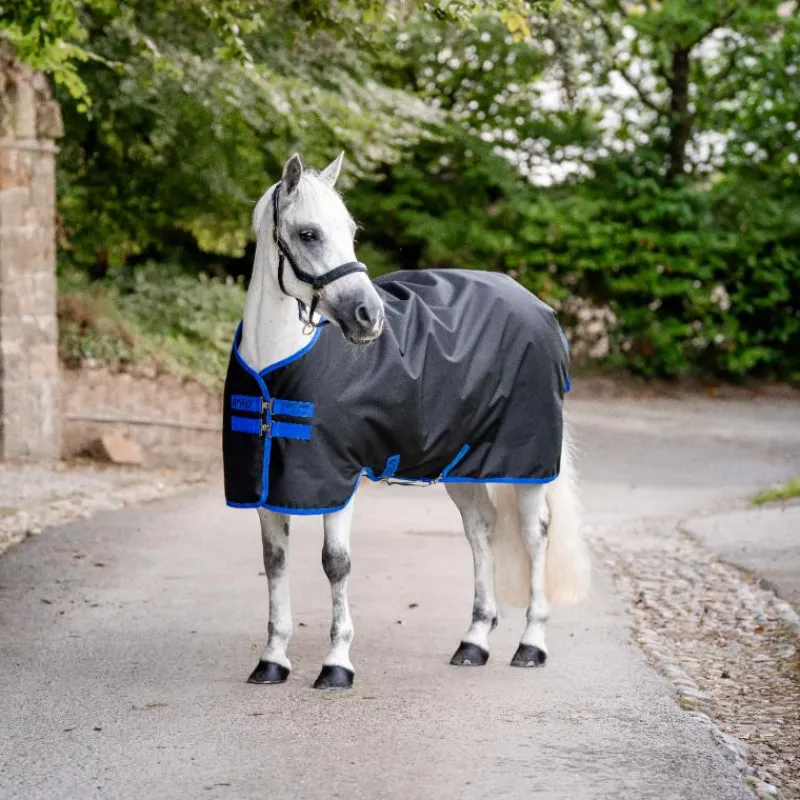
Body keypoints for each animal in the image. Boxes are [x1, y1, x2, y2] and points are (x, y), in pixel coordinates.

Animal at [223, 152, 591, 689]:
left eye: (351, 230)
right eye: (309, 233)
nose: (369, 317)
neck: (276, 369)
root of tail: (541, 309)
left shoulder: (339, 479)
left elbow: (336, 564)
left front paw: (337, 664)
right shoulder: (268, 484)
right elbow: (275, 564)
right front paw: (272, 660)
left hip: (526, 462)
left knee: (534, 533)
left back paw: (531, 644)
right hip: (463, 463)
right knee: (481, 529)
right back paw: (474, 641)